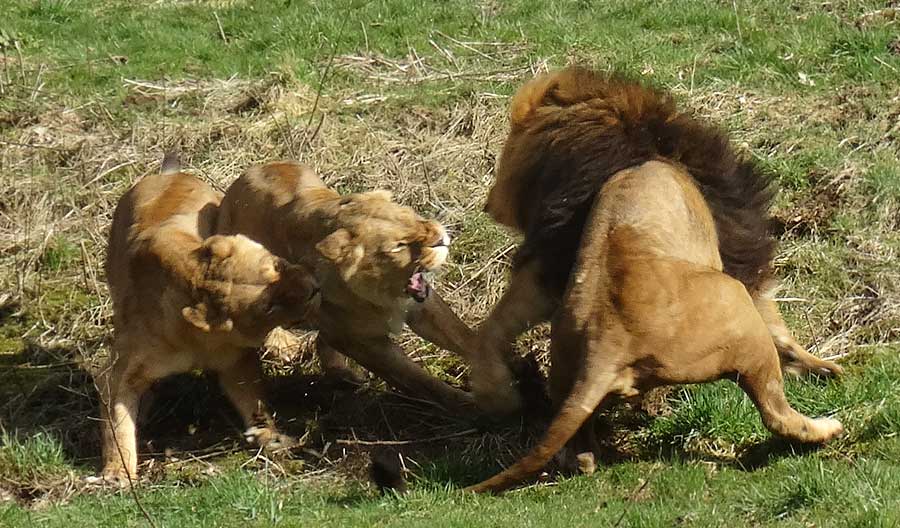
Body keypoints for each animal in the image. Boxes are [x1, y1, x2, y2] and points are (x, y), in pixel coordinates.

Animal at [98, 155, 322, 484]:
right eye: (269, 306)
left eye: (277, 264)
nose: (315, 287)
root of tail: (169, 174)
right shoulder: (118, 372)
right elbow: (117, 424)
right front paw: (116, 474)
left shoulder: (236, 362)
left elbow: (254, 404)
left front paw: (273, 439)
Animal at [215, 161, 478, 412]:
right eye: (398, 246)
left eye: (412, 215)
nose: (441, 239)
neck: (380, 294)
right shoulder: (364, 344)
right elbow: (421, 381)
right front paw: (469, 406)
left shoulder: (420, 306)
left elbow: (462, 337)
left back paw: (343, 374)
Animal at [464, 68, 844, 492]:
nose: (487, 203)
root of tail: (609, 340)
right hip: (737, 315)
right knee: (776, 411)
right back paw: (825, 427)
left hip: (572, 359)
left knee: (578, 443)